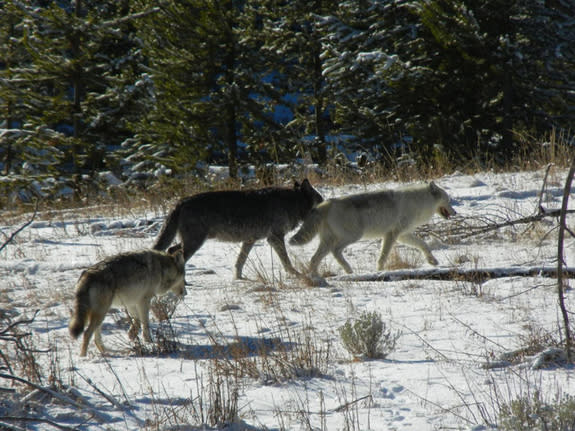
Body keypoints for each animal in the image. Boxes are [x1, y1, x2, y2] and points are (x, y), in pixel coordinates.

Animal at [153, 179, 324, 280]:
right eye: (321, 200)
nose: (327, 203)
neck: (293, 203)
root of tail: (181, 201)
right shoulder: (274, 238)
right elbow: (286, 262)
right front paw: (298, 275)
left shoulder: (250, 240)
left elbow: (239, 262)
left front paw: (239, 279)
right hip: (195, 242)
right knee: (175, 253)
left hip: (192, 241)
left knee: (171, 250)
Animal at [290, 182, 456, 276]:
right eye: (448, 200)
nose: (455, 212)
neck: (420, 202)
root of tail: (324, 205)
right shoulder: (392, 234)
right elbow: (383, 255)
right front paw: (380, 270)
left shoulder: (403, 235)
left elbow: (423, 244)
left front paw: (432, 261)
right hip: (352, 236)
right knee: (335, 251)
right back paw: (348, 270)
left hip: (329, 241)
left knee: (314, 258)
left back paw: (315, 277)